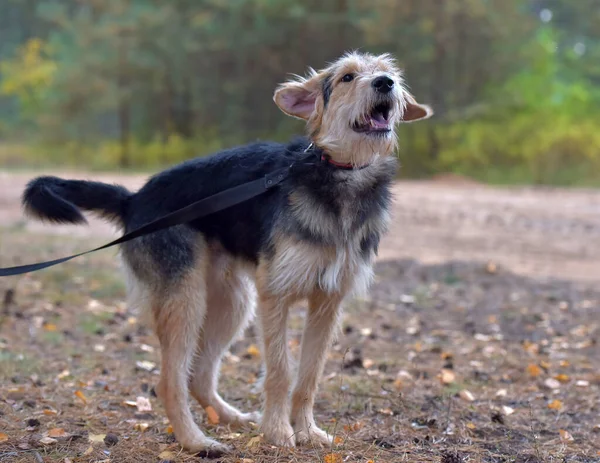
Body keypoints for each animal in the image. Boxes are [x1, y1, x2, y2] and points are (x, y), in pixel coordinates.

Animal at [18, 51, 432, 454]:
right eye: (348, 77)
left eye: (387, 72)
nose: (385, 83)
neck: (338, 175)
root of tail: (134, 199)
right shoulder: (276, 295)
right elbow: (281, 371)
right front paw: (278, 432)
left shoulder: (327, 302)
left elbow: (309, 375)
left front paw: (306, 431)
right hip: (186, 300)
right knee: (170, 381)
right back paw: (196, 441)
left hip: (232, 302)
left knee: (200, 376)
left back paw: (230, 418)